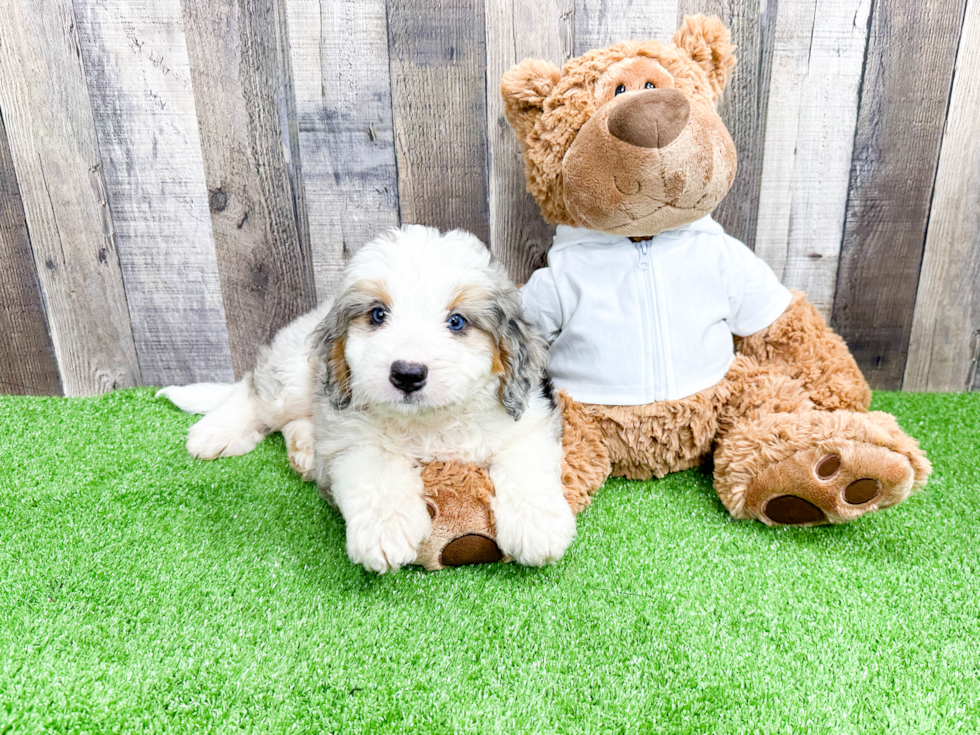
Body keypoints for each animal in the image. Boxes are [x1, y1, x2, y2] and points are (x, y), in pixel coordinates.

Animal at [159, 227, 576, 572]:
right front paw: (386, 530)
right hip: (293, 376)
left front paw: (538, 527)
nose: (407, 373)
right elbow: (377, 472)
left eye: (457, 322)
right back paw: (216, 433)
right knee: (253, 390)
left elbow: (525, 464)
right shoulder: (352, 438)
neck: (429, 423)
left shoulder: (529, 420)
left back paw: (304, 449)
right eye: (377, 315)